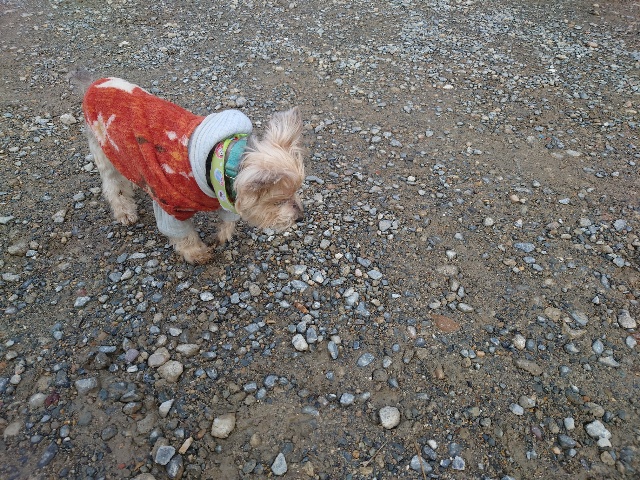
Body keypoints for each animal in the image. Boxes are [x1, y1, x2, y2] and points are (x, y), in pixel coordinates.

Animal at [75, 75, 305, 264]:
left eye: (295, 193)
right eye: (279, 202)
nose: (300, 217)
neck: (219, 160)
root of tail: (94, 84)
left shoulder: (223, 192)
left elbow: (227, 219)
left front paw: (222, 236)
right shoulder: (170, 205)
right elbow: (183, 235)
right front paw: (197, 253)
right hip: (103, 148)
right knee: (113, 185)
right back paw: (124, 211)